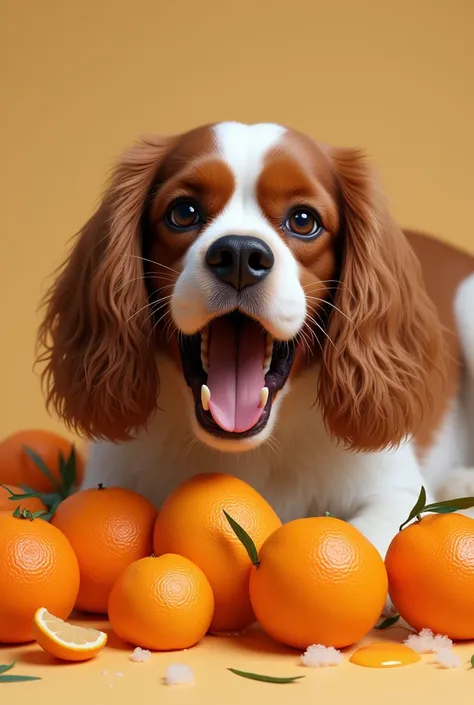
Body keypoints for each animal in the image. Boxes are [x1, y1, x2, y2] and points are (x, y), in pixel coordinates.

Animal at [36, 121, 474, 572]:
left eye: (303, 220)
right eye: (183, 212)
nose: (240, 254)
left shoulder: (396, 496)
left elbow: (362, 541)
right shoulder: (108, 482)